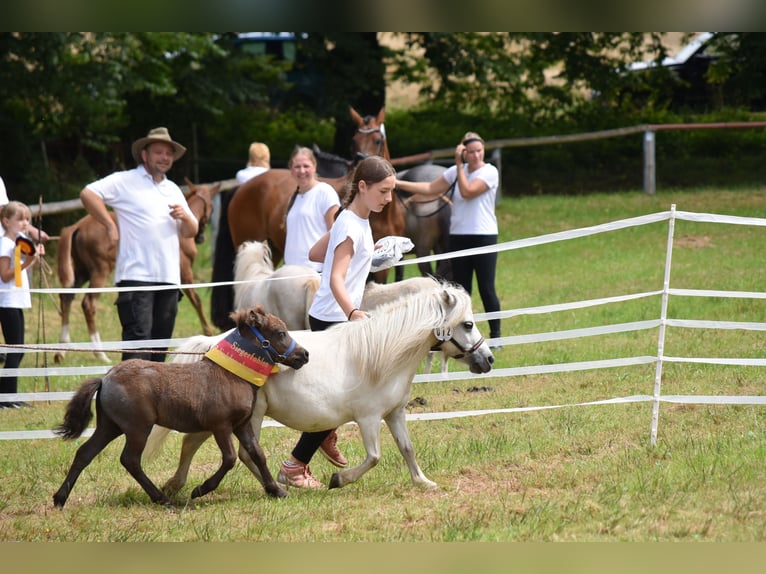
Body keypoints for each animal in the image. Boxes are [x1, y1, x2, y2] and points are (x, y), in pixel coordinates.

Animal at [51, 304, 310, 510]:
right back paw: (163, 499)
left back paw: (59, 498)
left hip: (109, 426)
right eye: (280, 333)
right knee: (130, 460)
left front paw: (276, 490)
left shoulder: (241, 424)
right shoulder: (221, 426)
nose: (304, 354)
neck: (231, 375)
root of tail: (105, 379)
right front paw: (201, 489)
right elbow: (229, 458)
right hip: (137, 428)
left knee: (85, 453)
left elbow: (257, 454)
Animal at [54, 179, 220, 364]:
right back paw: (100, 353)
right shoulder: (184, 274)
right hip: (100, 271)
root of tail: (78, 225)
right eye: (212, 207)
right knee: (88, 304)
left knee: (66, 297)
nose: (201, 237)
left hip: (82, 271)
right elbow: (197, 300)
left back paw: (61, 350)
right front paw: (208, 331)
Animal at [149, 280, 496, 496]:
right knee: (247, 454)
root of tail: (213, 344)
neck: (382, 356)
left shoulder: (394, 413)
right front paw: (339, 479)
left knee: (190, 443)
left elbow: (407, 449)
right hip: (251, 415)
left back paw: (174, 486)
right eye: (467, 324)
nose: (488, 359)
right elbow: (374, 457)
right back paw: (274, 488)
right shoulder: (369, 418)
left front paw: (424, 482)